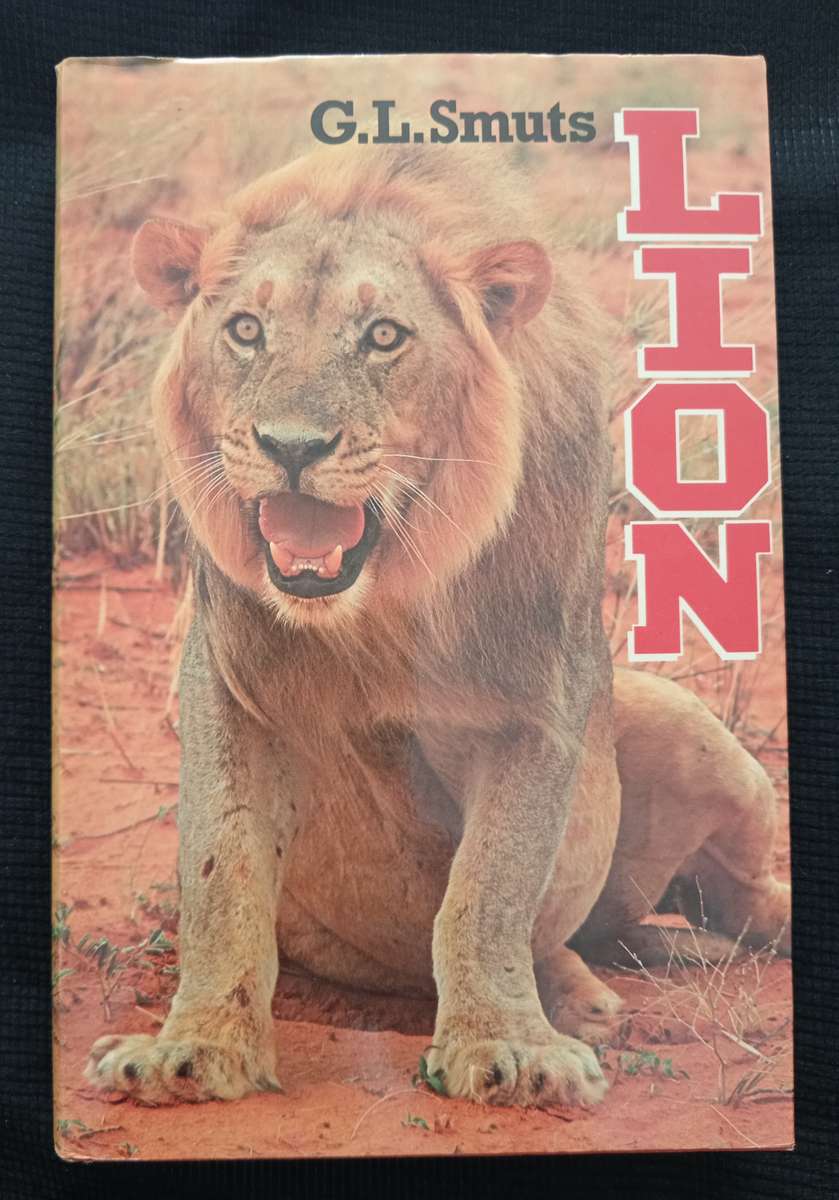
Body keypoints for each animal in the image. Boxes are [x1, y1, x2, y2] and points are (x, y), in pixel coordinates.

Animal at [86, 141, 790, 1109]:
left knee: (734, 899)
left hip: (693, 732)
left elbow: (487, 890)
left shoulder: (539, 701)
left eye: (384, 336)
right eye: (245, 329)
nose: (291, 446)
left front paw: (505, 1045)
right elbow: (220, 873)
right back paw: (584, 991)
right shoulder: (227, 682)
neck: (380, 601)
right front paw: (194, 1049)